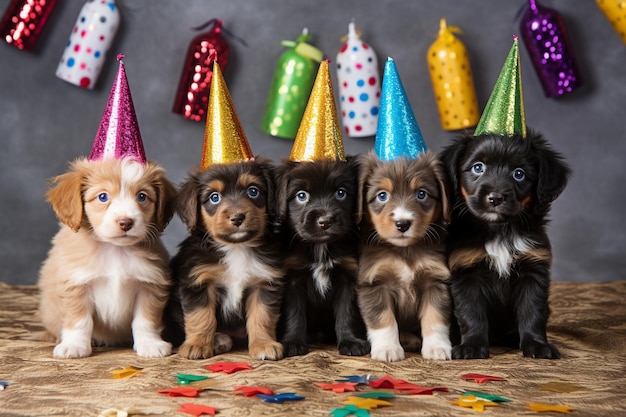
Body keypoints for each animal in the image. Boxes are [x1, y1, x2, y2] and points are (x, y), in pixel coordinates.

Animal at [38, 156, 177, 358]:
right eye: (103, 197)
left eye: (142, 196)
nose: (126, 222)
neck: (115, 250)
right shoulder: (76, 284)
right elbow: (79, 321)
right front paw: (74, 345)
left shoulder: (150, 284)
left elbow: (145, 320)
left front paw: (150, 344)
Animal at [166, 158, 282, 360]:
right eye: (214, 197)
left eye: (253, 191)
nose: (237, 217)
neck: (236, 248)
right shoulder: (198, 282)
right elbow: (201, 316)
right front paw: (197, 345)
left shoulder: (264, 282)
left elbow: (262, 316)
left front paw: (264, 345)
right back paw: (219, 339)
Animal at [276, 158, 368, 356]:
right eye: (301, 196)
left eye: (341, 193)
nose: (325, 221)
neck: (320, 247)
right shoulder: (293, 279)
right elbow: (295, 312)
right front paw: (293, 342)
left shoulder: (348, 277)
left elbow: (346, 312)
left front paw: (350, 342)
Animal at [356, 150, 448, 360]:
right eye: (382, 195)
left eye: (421, 194)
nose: (403, 223)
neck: (405, 250)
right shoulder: (374, 283)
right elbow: (383, 320)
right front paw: (387, 348)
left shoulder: (434, 281)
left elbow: (435, 318)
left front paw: (437, 347)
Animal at [438, 130, 572, 358]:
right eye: (478, 167)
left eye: (519, 174)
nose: (495, 198)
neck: (499, 230)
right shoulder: (466, 272)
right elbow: (470, 312)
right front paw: (472, 346)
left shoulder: (533, 269)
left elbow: (533, 311)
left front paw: (537, 345)